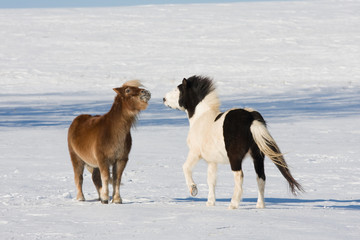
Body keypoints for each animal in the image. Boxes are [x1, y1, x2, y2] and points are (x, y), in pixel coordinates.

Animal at [164, 75, 304, 208]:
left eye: (178, 90)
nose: (164, 99)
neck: (201, 117)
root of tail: (251, 118)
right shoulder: (212, 161)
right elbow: (211, 180)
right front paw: (210, 202)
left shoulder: (195, 152)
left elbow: (186, 167)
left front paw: (193, 189)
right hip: (258, 157)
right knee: (261, 178)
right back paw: (260, 205)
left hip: (235, 158)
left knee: (239, 176)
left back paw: (233, 204)